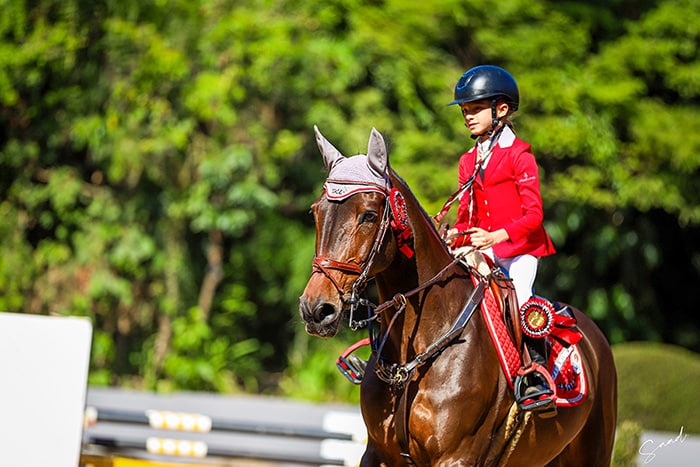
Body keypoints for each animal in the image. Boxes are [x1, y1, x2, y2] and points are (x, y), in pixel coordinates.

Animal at [298, 126, 616, 466]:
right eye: (315, 212)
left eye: (369, 215)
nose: (316, 310)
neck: (411, 357)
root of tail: (593, 335)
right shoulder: (377, 452)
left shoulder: (456, 457)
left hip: (593, 451)